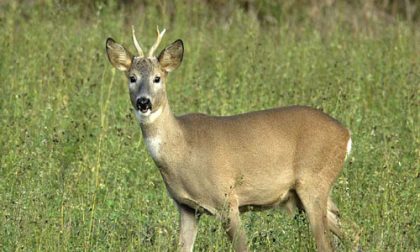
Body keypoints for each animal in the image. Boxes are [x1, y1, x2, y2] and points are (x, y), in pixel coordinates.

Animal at [105, 26, 352, 251]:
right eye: (132, 78)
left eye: (157, 78)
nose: (143, 102)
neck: (183, 148)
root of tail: (346, 134)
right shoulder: (186, 207)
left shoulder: (227, 199)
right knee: (350, 230)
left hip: (314, 182)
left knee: (328, 243)